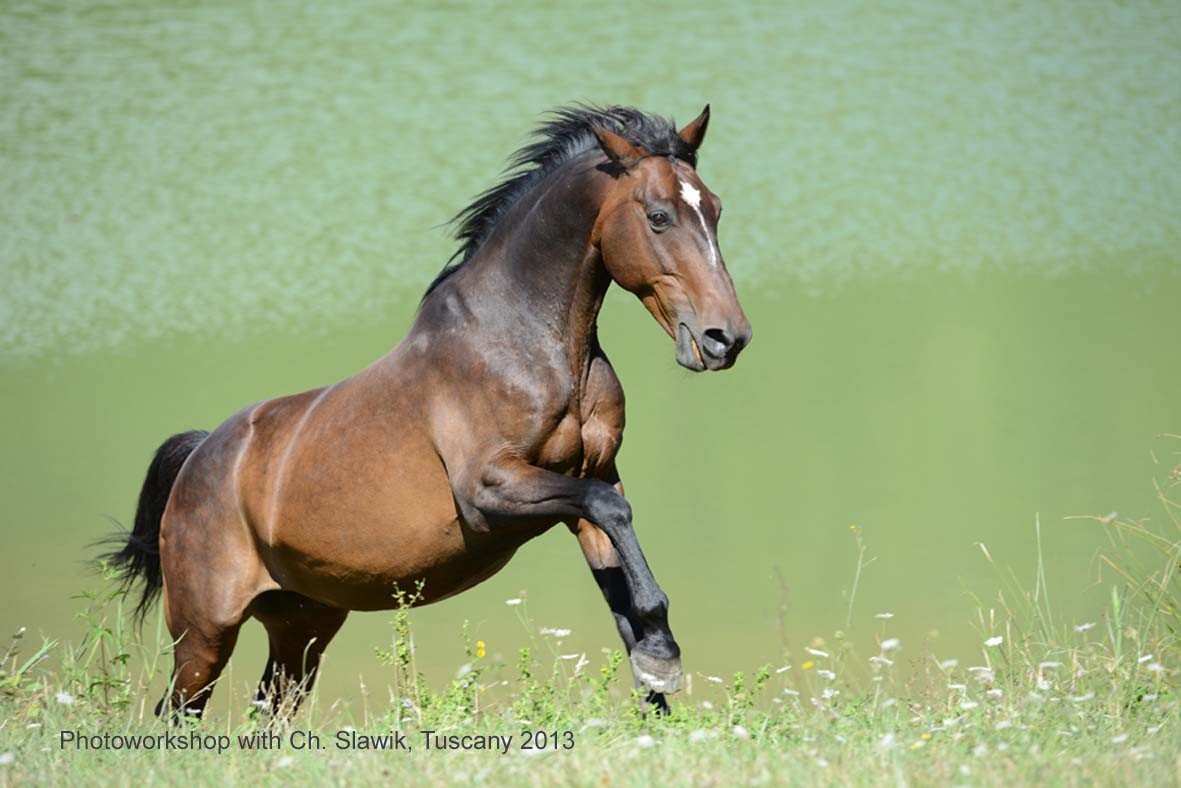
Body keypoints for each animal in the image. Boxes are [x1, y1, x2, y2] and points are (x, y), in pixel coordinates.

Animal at [106, 104, 755, 723]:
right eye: (658, 216)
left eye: (716, 210)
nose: (726, 337)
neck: (524, 345)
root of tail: (199, 455)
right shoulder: (493, 490)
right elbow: (614, 519)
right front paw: (663, 658)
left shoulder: (591, 476)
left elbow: (619, 579)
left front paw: (656, 684)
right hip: (205, 633)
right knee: (179, 715)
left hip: (303, 624)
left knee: (267, 709)